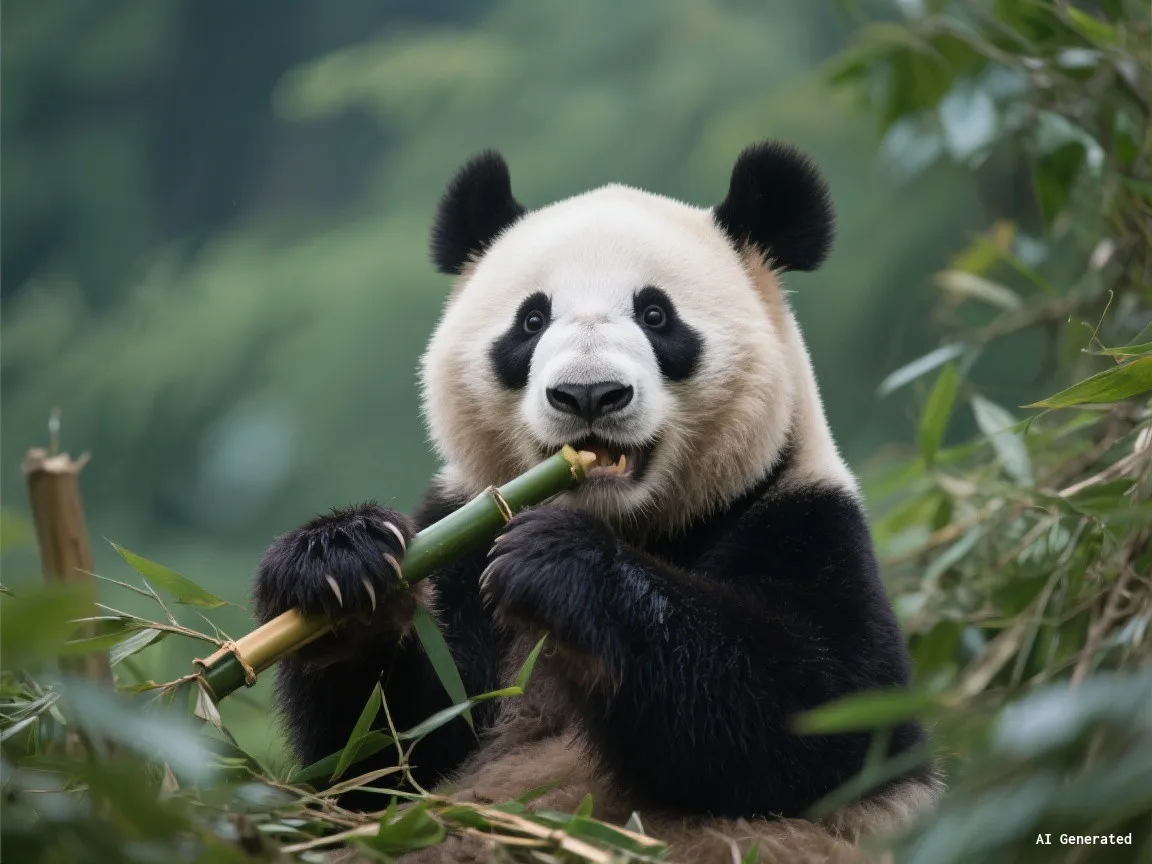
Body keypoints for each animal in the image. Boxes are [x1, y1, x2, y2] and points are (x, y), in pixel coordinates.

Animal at [253, 140, 941, 863]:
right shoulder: (460, 529)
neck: (632, 523)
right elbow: (378, 763)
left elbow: (824, 714)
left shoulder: (801, 520)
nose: (589, 394)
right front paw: (341, 566)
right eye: (532, 320)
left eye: (656, 315)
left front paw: (560, 565)